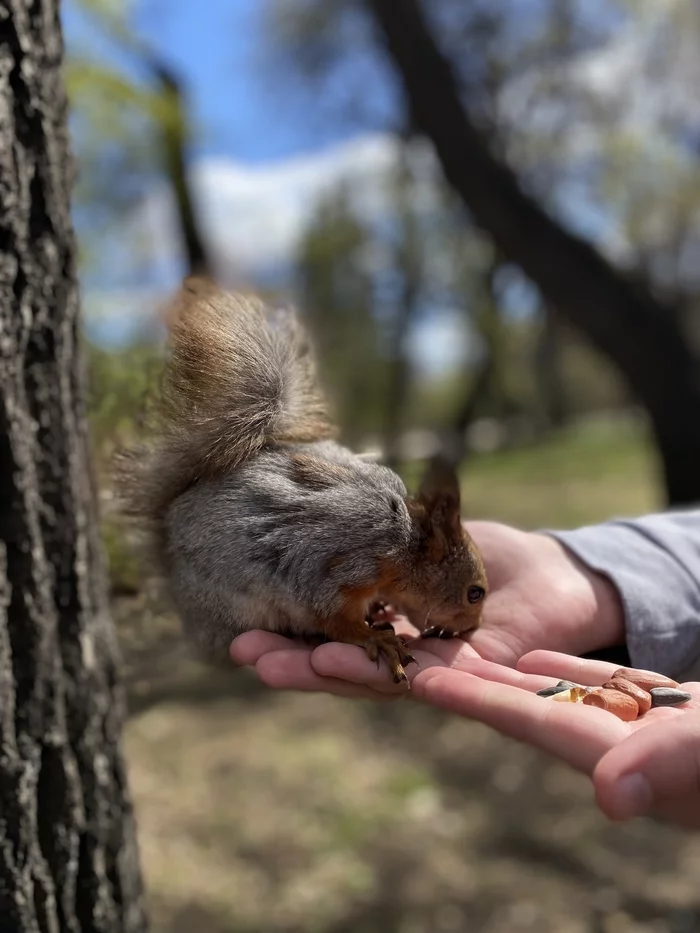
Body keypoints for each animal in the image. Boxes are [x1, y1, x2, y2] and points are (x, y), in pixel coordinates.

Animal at [116, 276, 486, 684]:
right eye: (474, 593)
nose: (471, 630)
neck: (403, 546)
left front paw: (380, 611)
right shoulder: (340, 565)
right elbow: (332, 617)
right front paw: (375, 638)